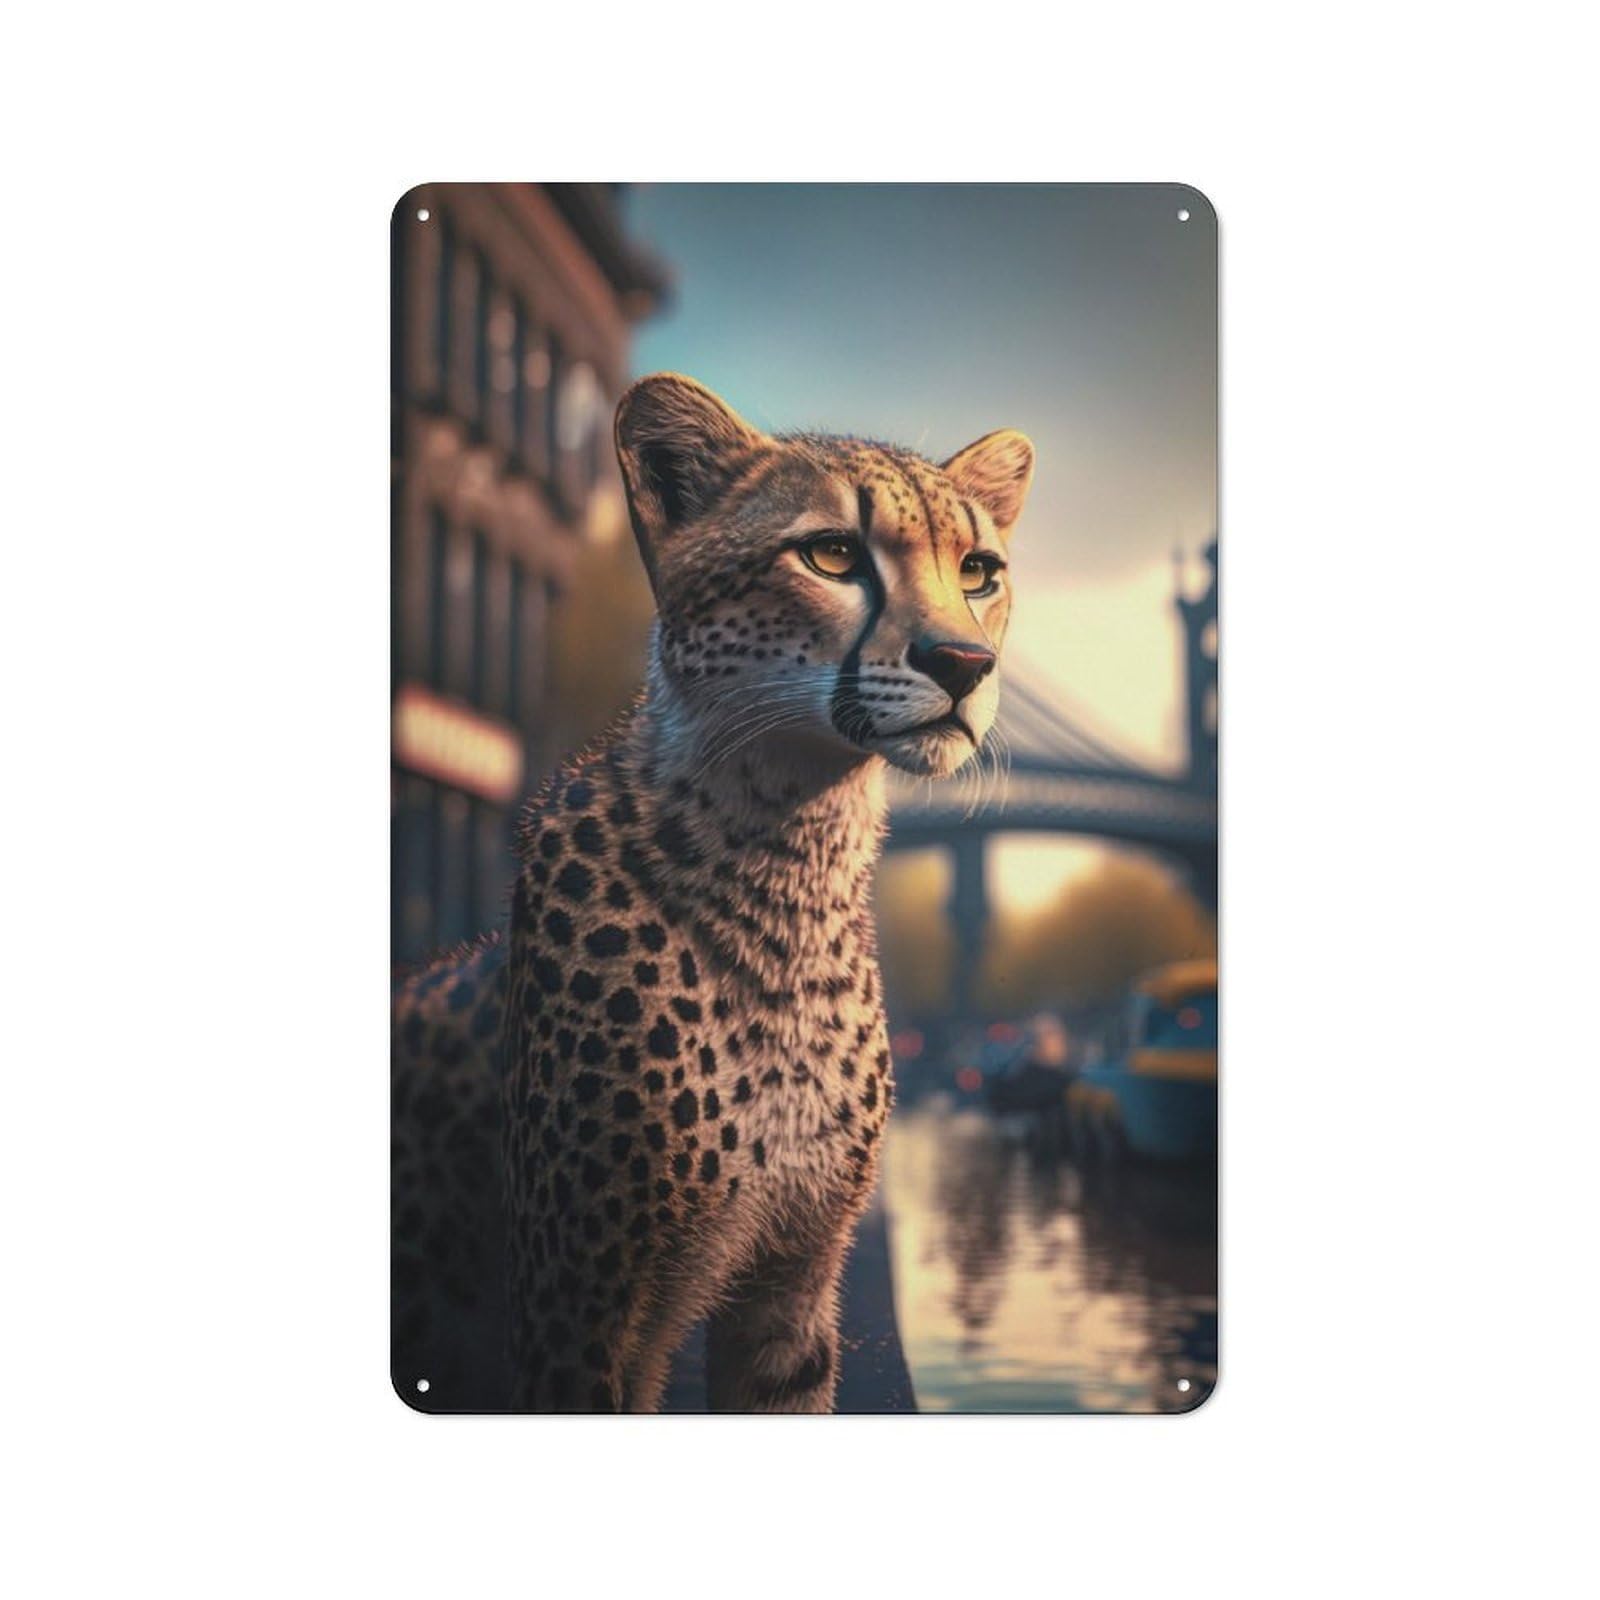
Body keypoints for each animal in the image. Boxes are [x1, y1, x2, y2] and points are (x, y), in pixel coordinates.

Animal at [393, 373, 1033, 1412]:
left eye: (978, 570)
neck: (788, 862)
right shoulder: (574, 1314)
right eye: (831, 553)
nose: (965, 665)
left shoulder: (791, 1290)